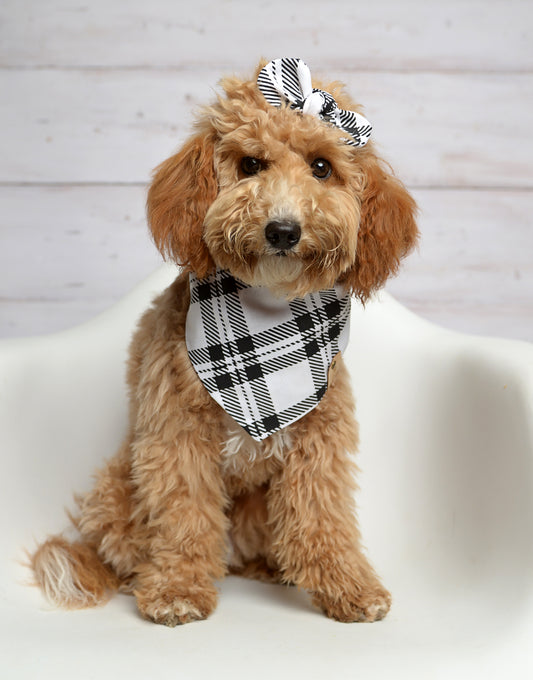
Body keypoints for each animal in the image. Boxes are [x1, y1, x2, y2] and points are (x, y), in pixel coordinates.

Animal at [31, 59, 418, 628]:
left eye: (322, 167)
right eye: (251, 164)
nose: (283, 230)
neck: (266, 316)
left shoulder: (319, 439)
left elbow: (323, 517)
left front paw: (348, 586)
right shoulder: (176, 436)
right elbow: (183, 515)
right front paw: (177, 588)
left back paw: (273, 570)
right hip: (115, 489)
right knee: (128, 549)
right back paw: (142, 577)